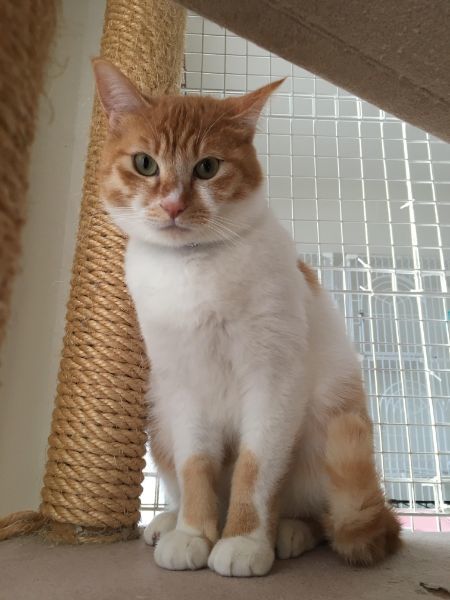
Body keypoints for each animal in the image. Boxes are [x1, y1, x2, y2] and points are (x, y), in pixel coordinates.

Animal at [93, 58, 401, 577]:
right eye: (145, 163)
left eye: (208, 167)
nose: (173, 204)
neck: (195, 270)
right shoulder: (184, 386)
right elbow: (196, 467)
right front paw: (193, 534)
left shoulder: (274, 380)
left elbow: (255, 470)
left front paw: (243, 541)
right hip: (159, 415)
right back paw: (168, 522)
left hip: (330, 421)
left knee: (324, 514)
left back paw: (290, 532)